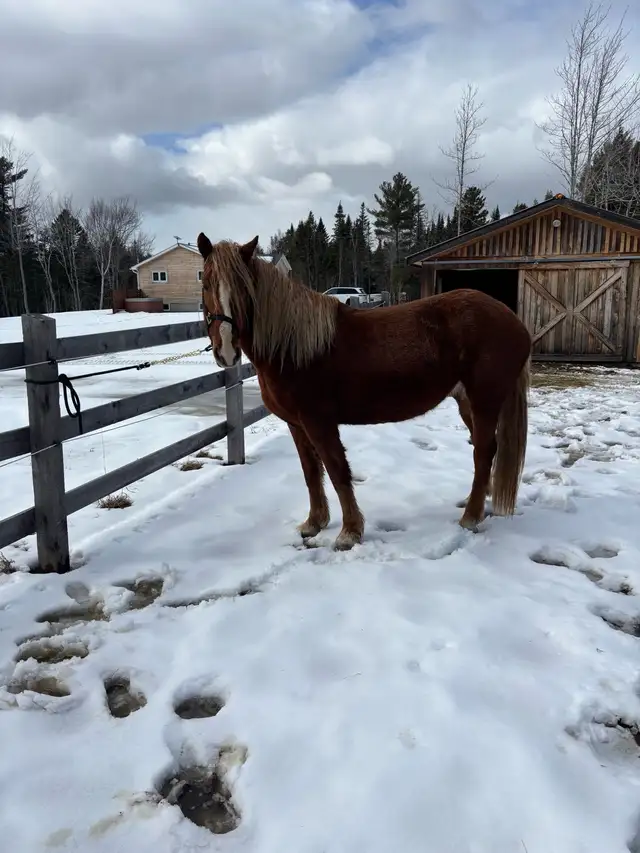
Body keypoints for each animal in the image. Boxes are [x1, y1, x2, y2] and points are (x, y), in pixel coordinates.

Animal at [198, 233, 532, 551]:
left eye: (243, 287)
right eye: (206, 281)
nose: (226, 350)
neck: (294, 346)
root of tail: (512, 320)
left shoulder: (319, 422)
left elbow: (337, 471)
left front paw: (349, 532)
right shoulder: (296, 423)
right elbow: (310, 471)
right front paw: (314, 523)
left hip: (485, 400)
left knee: (484, 451)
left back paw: (470, 517)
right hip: (467, 403)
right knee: (486, 450)